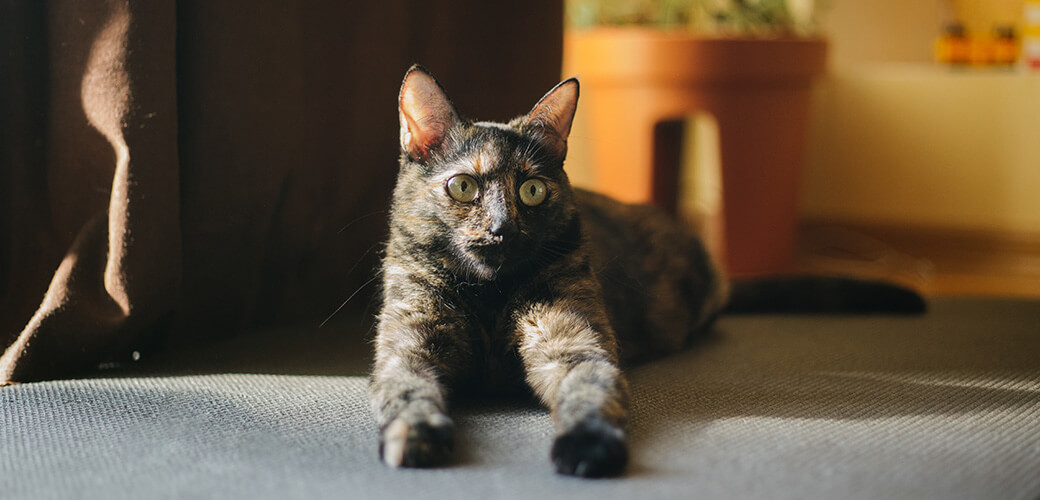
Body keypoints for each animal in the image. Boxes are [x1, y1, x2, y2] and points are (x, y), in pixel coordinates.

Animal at [372, 66, 723, 476]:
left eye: (533, 190)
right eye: (462, 186)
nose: (502, 228)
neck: (489, 297)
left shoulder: (571, 342)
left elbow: (590, 390)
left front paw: (589, 446)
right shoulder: (408, 346)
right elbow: (409, 390)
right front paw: (415, 435)